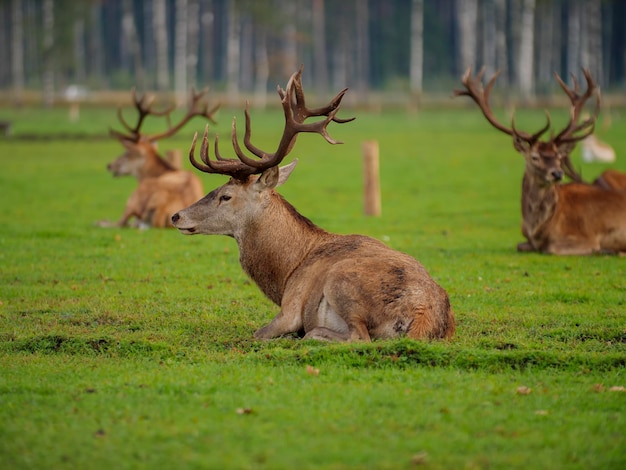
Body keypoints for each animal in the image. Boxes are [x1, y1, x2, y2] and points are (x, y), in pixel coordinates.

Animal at [171, 66, 454, 342]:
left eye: (226, 195)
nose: (176, 216)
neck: (287, 272)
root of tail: (424, 314)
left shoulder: (290, 307)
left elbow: (258, 333)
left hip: (342, 281)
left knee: (358, 336)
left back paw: (313, 334)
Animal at [450, 66, 624, 255]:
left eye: (558, 157)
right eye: (535, 157)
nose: (557, 173)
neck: (538, 228)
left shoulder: (587, 237)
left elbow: (551, 248)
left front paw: (605, 250)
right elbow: (520, 245)